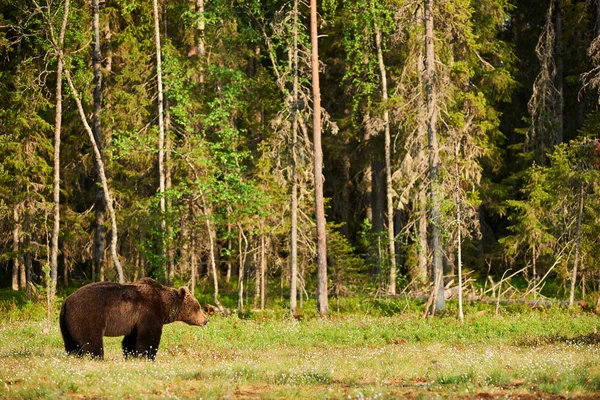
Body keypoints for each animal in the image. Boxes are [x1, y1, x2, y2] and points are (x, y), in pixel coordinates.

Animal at [59, 278, 209, 360]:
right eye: (198, 307)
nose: (206, 319)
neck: (165, 305)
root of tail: (66, 301)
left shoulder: (135, 320)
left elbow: (131, 339)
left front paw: (131, 355)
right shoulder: (149, 312)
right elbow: (149, 336)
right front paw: (148, 356)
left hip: (66, 323)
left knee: (71, 342)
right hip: (88, 315)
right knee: (92, 340)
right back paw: (98, 357)